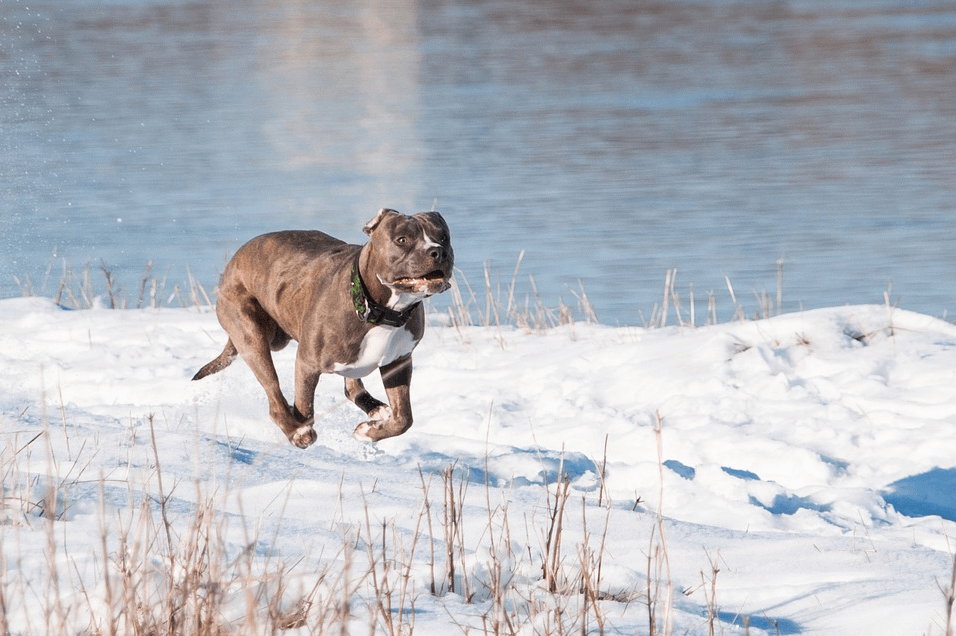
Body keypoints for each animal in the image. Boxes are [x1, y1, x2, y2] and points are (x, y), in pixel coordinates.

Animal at [193, 209, 456, 448]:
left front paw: (368, 432)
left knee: (352, 387)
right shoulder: (307, 363)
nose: (438, 251)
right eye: (402, 239)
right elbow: (304, 406)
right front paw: (301, 428)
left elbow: (404, 418)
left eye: (443, 236)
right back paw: (296, 431)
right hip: (251, 335)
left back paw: (376, 411)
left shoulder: (399, 362)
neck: (380, 310)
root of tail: (234, 261)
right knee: (274, 394)